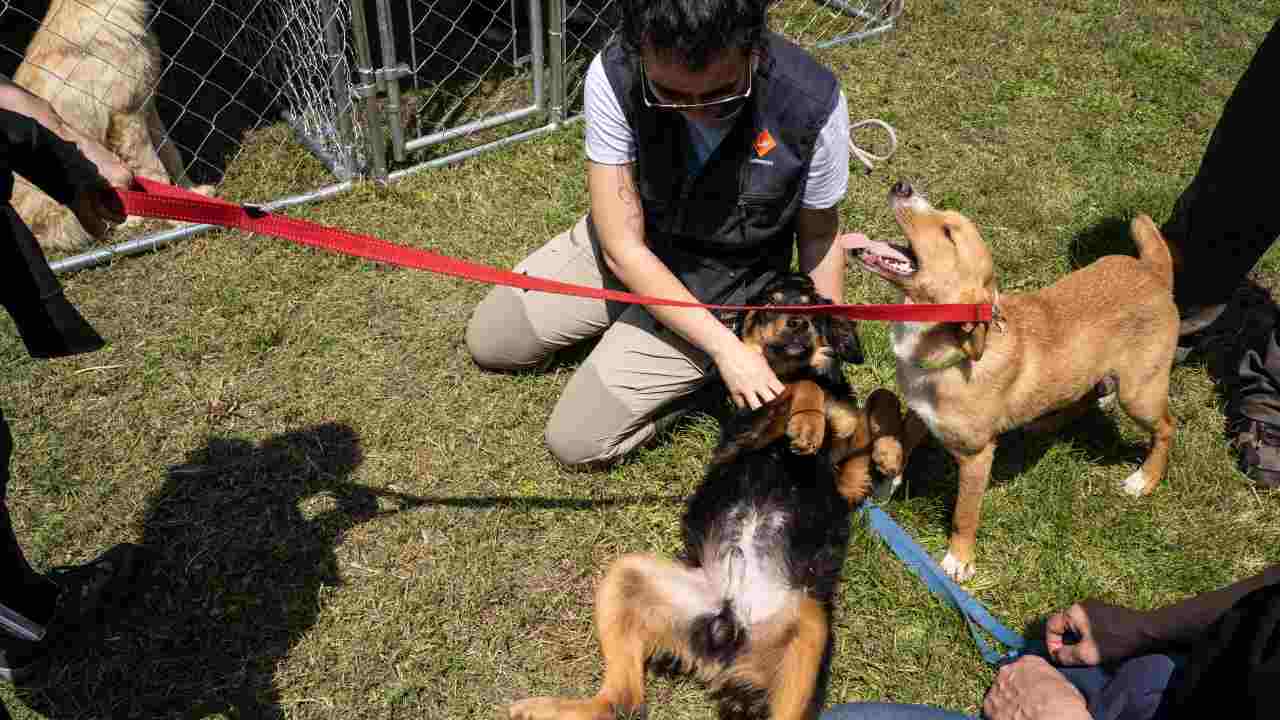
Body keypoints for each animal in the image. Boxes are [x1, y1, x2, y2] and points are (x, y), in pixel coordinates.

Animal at [504, 274, 906, 717]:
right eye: (770, 303)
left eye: (810, 306)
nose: (798, 323)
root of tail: (726, 630)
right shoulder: (746, 431)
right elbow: (799, 390)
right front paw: (808, 424)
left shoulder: (847, 482)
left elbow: (876, 401)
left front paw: (889, 452)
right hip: (630, 574)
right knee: (623, 702)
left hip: (810, 625)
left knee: (627, 703)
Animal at [844, 180, 1172, 584]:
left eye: (948, 233)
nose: (902, 185)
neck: (945, 349)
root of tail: (1154, 273)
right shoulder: (921, 410)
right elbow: (900, 438)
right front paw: (886, 474)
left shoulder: (977, 456)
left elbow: (964, 515)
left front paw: (959, 560)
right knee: (1082, 397)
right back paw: (1047, 423)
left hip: (1138, 395)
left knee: (1166, 427)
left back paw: (1146, 479)